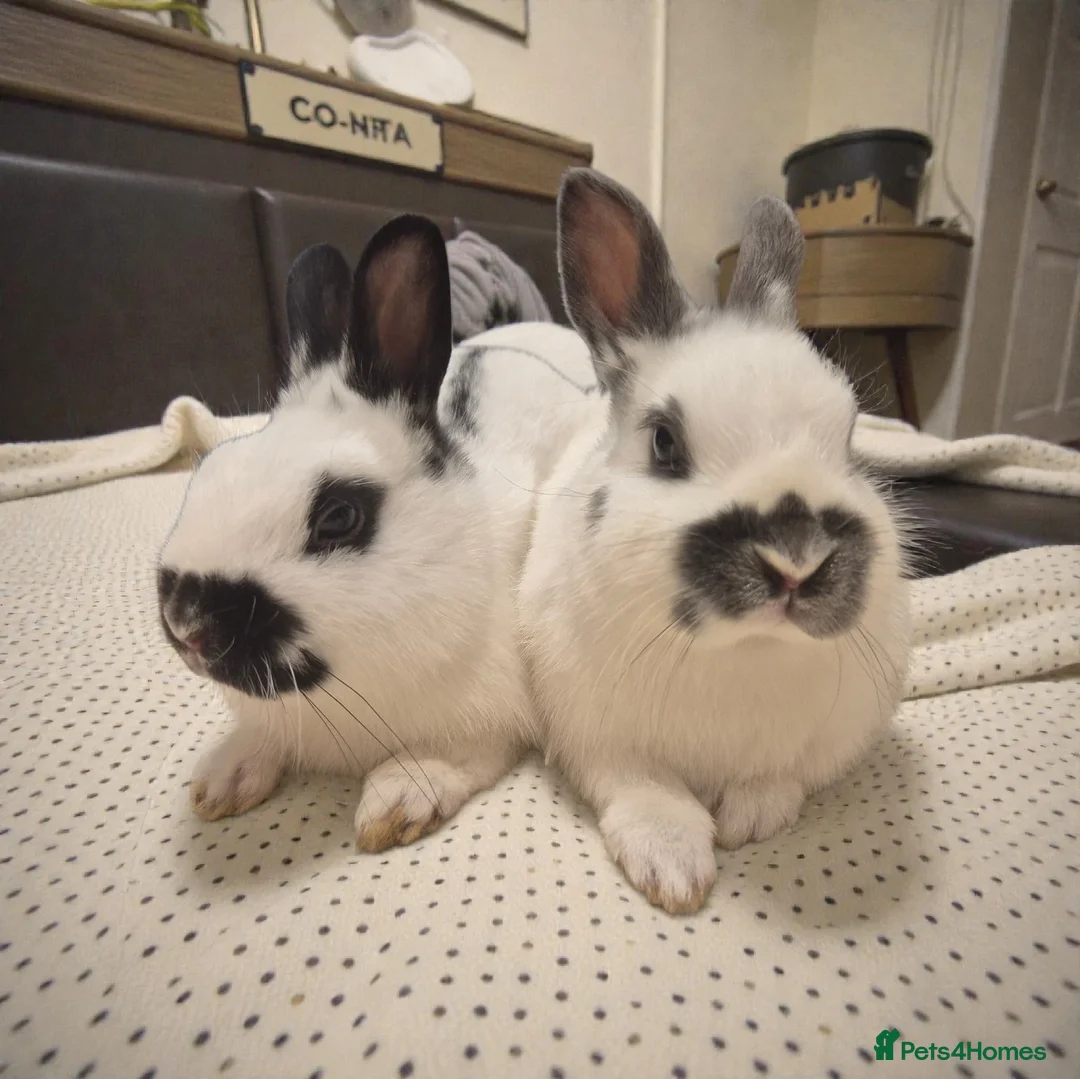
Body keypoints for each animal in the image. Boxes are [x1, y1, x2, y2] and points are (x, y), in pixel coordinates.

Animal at [157, 214, 591, 852]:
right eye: (209, 468)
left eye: (339, 517)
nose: (186, 623)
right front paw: (223, 780)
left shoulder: (485, 722)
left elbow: (451, 758)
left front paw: (395, 803)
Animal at [518, 169, 912, 914]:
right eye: (665, 443)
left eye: (850, 438)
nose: (797, 561)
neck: (743, 650)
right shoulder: (600, 739)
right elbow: (646, 790)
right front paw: (673, 867)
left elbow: (778, 781)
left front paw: (750, 819)